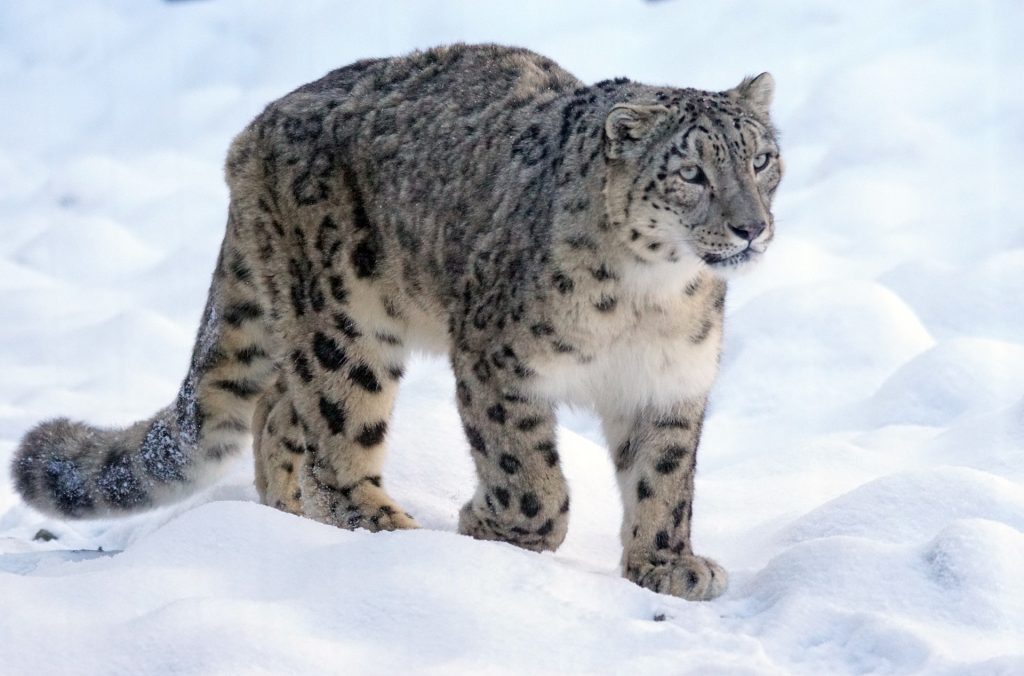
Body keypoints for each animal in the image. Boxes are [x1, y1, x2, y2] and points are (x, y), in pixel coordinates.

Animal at [11, 44, 782, 601]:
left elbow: (665, 479)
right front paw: (492, 526)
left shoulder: (670, 383)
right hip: (343, 322)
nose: (752, 227)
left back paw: (287, 516)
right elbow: (529, 475)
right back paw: (382, 527)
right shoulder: (499, 362)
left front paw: (667, 564)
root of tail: (255, 129)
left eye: (762, 159)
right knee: (333, 430)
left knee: (278, 411)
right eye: (691, 172)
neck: (652, 297)